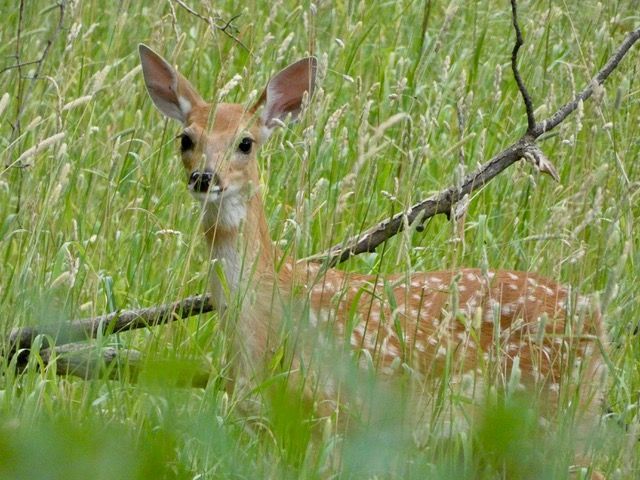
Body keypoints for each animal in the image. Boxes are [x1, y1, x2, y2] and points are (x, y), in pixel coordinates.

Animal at [138, 44, 608, 471]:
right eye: (186, 139)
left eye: (246, 143)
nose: (204, 178)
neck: (267, 318)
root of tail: (594, 314)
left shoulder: (333, 417)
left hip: (554, 416)